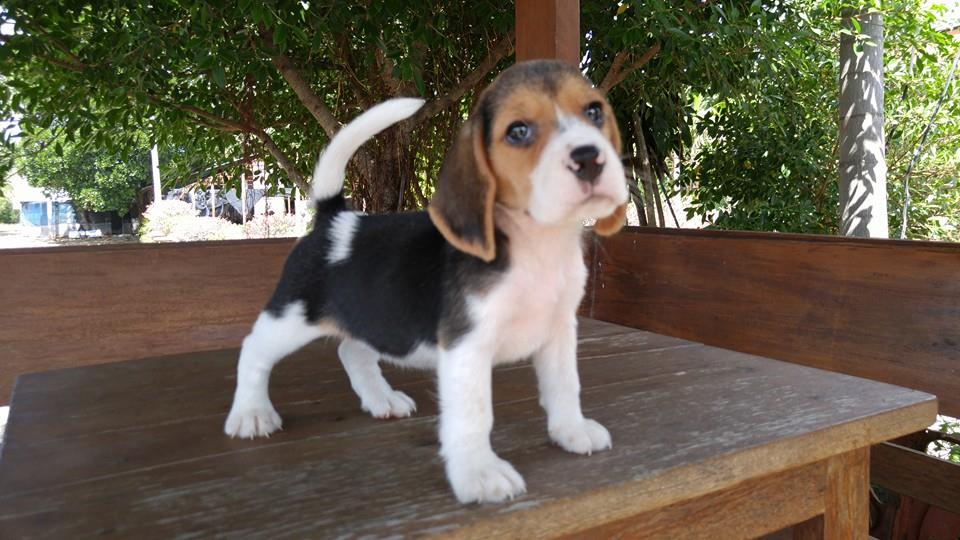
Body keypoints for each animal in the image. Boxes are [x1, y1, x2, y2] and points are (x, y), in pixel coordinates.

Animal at [224, 60, 629, 504]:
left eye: (594, 111)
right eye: (518, 131)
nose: (589, 158)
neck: (536, 243)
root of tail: (335, 220)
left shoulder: (558, 331)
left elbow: (564, 386)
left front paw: (571, 431)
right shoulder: (466, 346)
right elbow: (473, 415)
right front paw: (479, 473)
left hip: (373, 318)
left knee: (352, 352)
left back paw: (381, 399)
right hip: (291, 317)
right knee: (254, 351)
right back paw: (251, 414)